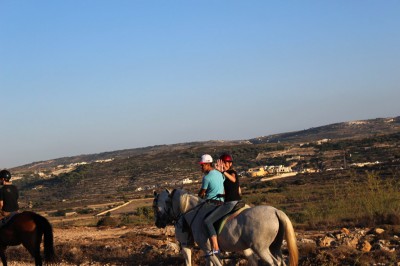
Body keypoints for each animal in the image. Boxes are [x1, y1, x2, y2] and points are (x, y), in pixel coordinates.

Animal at [153, 188, 296, 264]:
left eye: (155, 205)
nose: (158, 223)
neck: (193, 212)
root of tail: (276, 211)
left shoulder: (206, 250)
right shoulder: (207, 251)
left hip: (261, 249)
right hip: (274, 247)